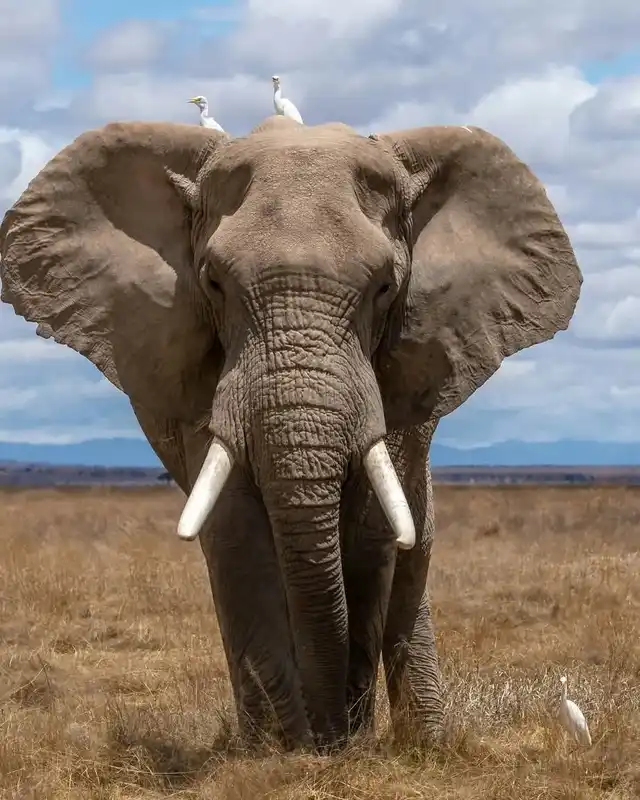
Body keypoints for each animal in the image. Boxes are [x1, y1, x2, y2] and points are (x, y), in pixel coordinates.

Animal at [0, 114, 582, 751]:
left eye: (385, 287)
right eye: (213, 283)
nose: (330, 737)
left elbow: (373, 531)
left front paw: (345, 743)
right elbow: (235, 530)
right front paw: (279, 752)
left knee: (414, 547)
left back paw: (425, 741)